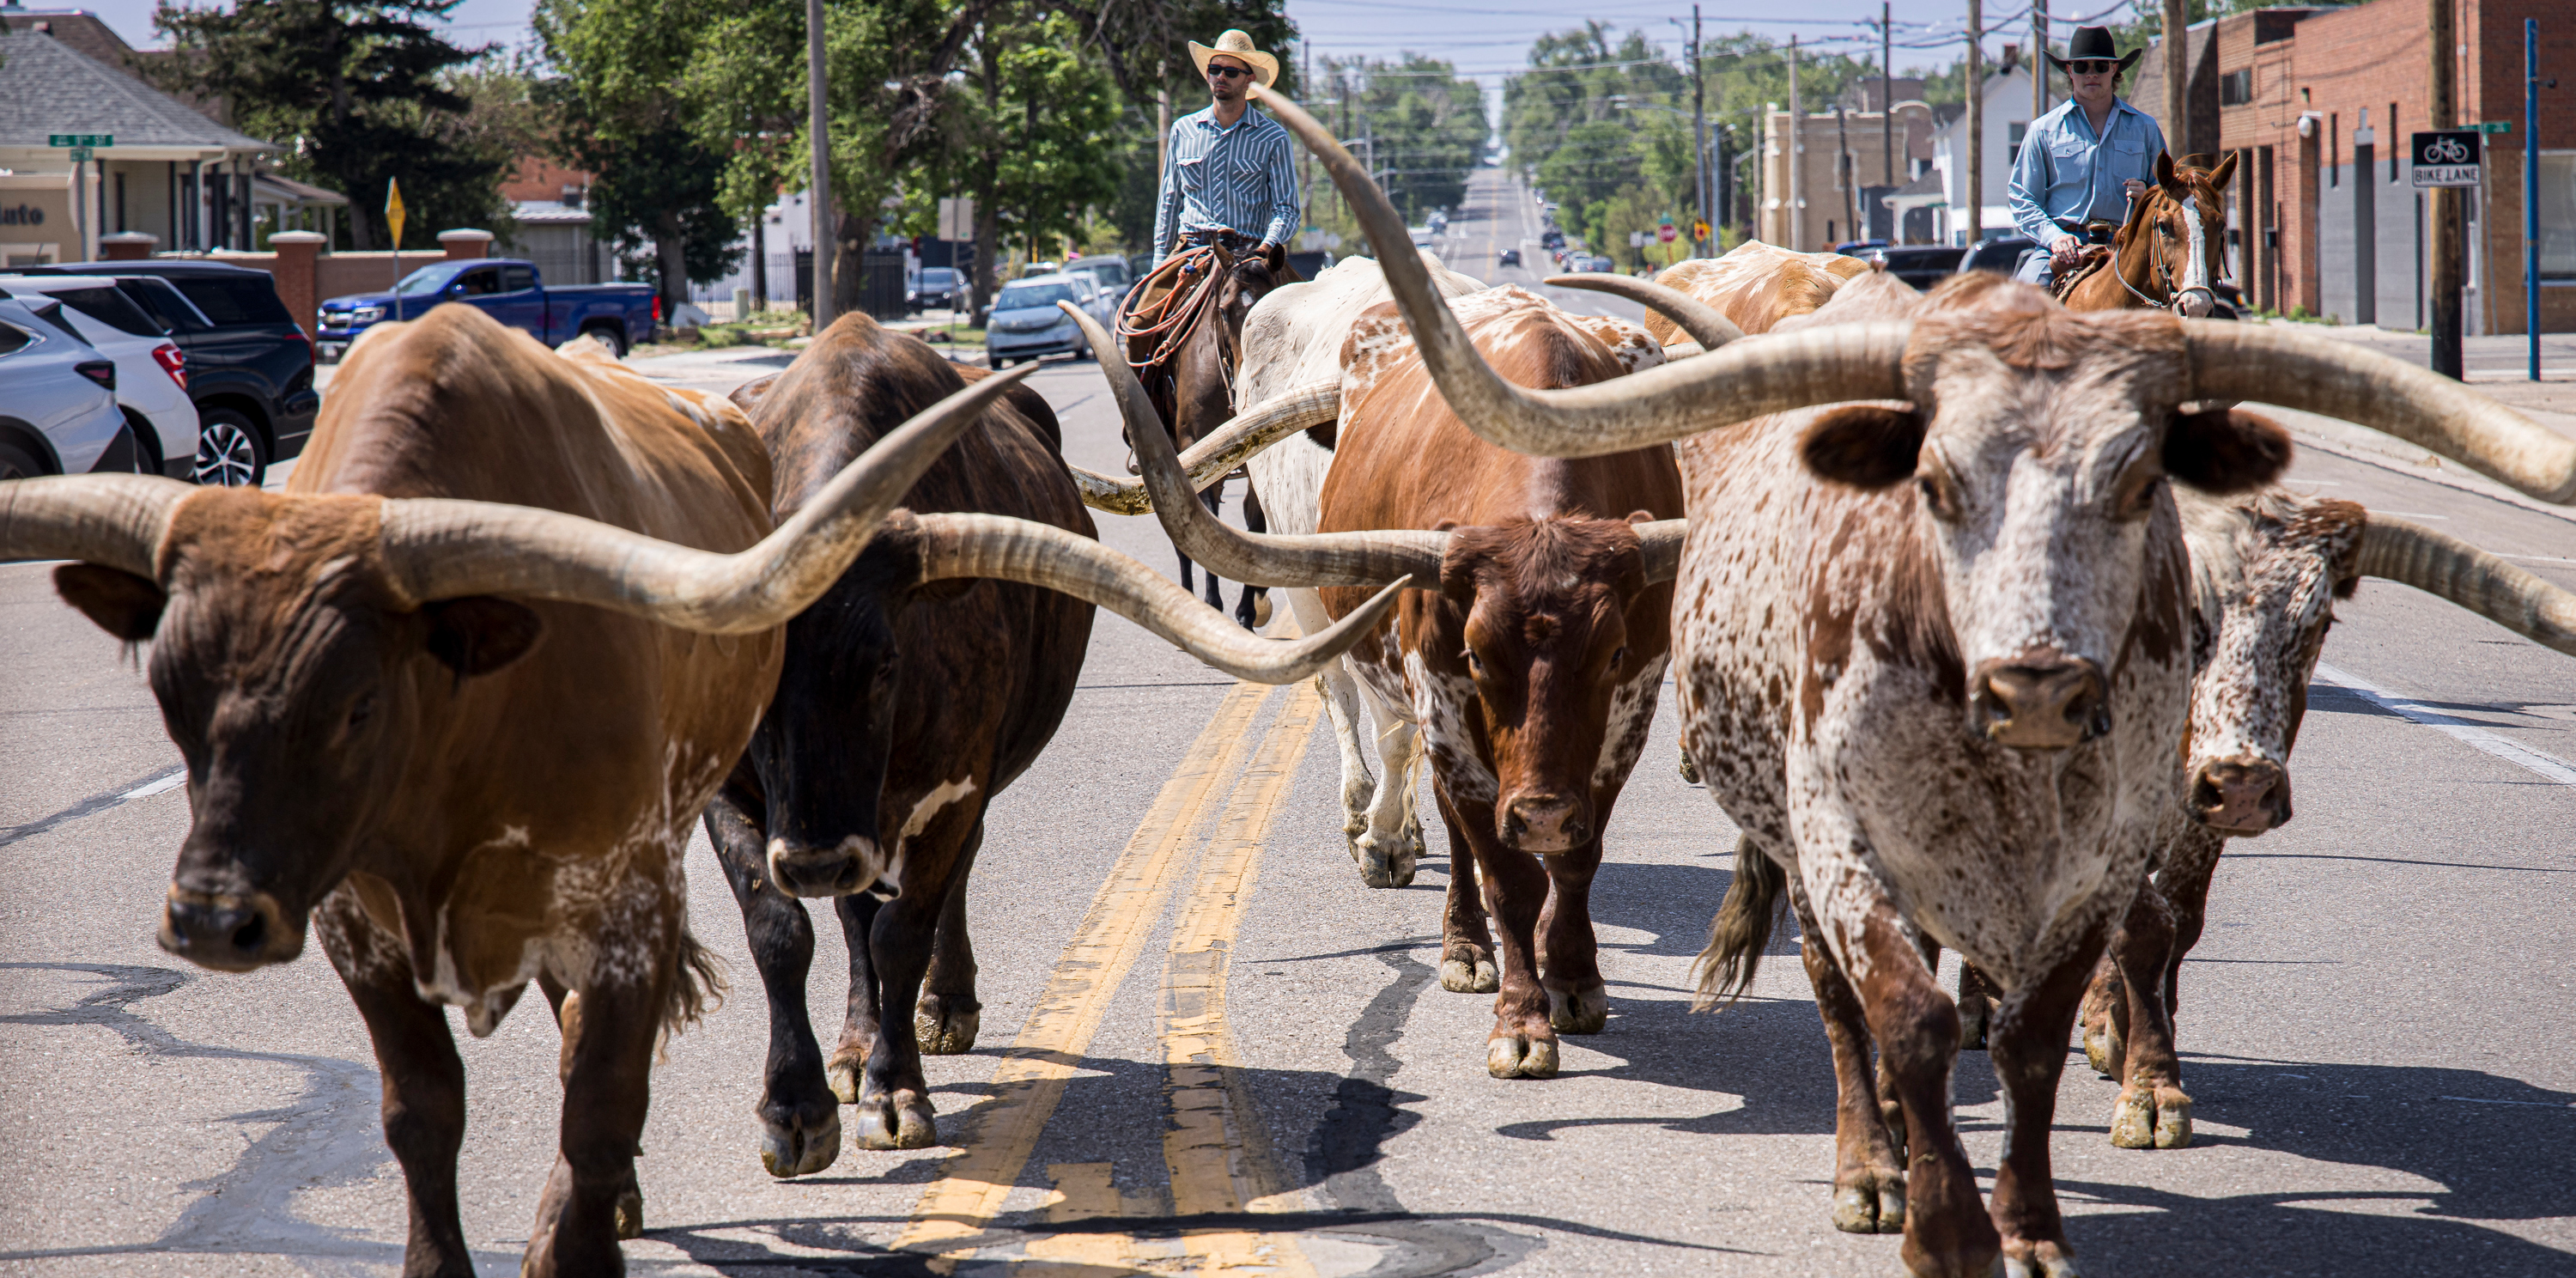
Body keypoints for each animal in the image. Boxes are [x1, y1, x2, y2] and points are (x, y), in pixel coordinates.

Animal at [701, 314, 1412, 1165]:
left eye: (884, 666)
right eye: (745, 667)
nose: (813, 860)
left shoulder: (953, 789)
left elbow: (902, 932)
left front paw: (896, 1091)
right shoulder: (736, 795)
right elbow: (781, 930)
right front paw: (798, 1107)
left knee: (931, 890)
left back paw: (944, 1006)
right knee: (853, 912)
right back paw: (858, 1041)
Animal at [1066, 284, 1690, 1072]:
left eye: (1611, 653)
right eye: (1477, 653)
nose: (1541, 814)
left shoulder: (1627, 716)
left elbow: (1578, 859)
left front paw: (1574, 980)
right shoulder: (1443, 702)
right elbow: (1505, 873)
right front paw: (1519, 1018)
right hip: (1328, 604)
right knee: (1372, 727)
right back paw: (1422, 888)